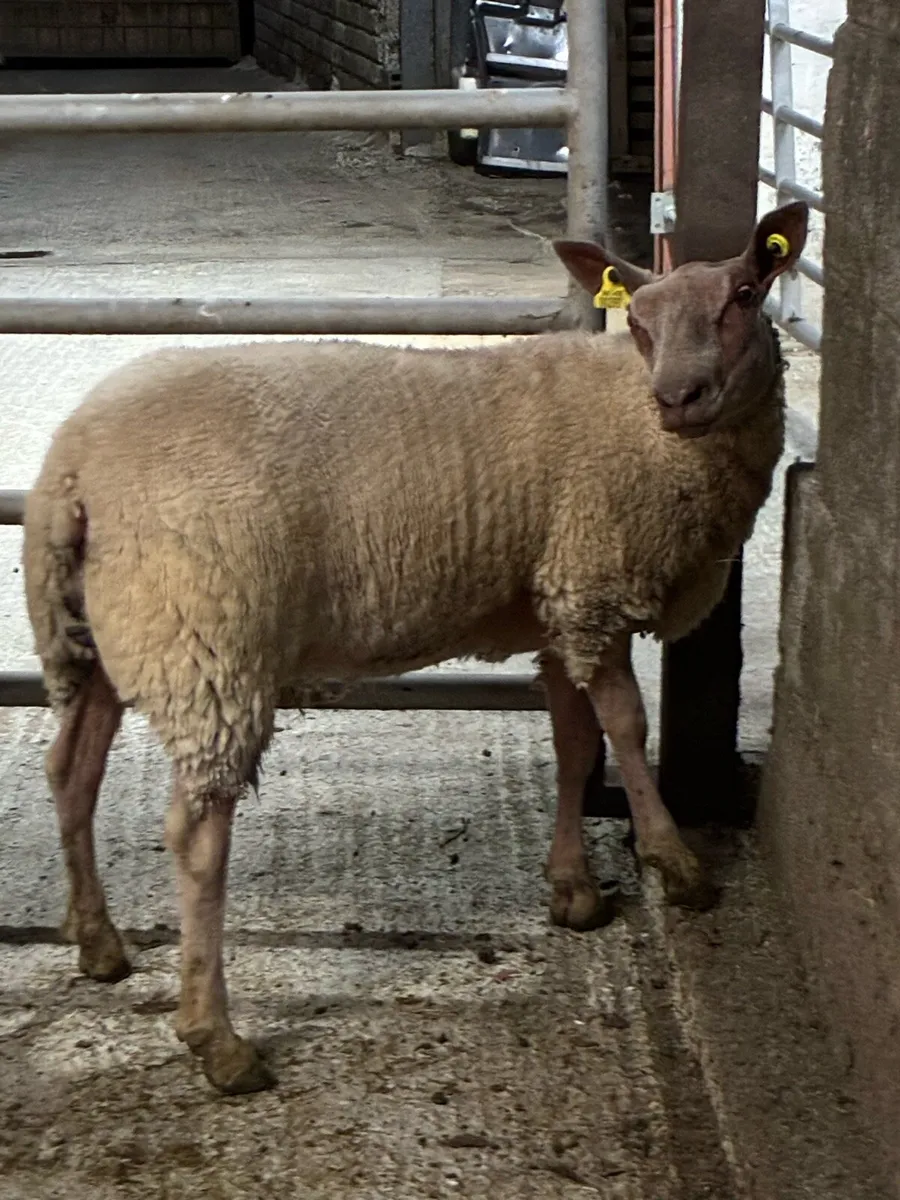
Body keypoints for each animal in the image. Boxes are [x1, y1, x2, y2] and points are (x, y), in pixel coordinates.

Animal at [22, 200, 809, 1095]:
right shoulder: (593, 585)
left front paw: (574, 890)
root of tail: (75, 465)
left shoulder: (554, 602)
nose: (680, 397)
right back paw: (217, 1040)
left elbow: (575, 746)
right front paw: (674, 863)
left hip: (100, 635)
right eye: (637, 322)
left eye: (745, 294)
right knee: (193, 831)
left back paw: (99, 945)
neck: (639, 420)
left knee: (71, 771)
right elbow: (627, 729)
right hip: (208, 640)